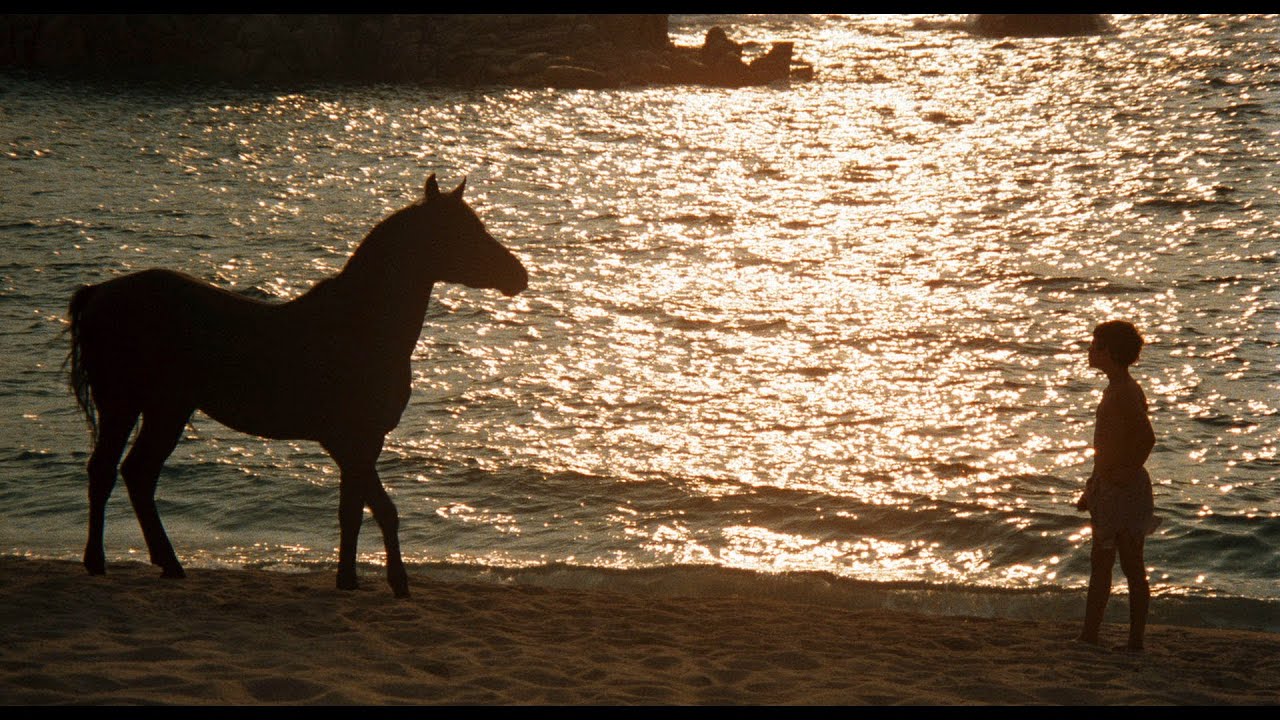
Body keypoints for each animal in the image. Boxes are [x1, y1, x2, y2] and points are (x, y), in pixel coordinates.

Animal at [66, 174, 528, 598]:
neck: (360, 325)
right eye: (462, 231)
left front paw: (365, 580)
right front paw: (378, 582)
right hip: (129, 405)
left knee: (136, 473)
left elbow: (363, 510)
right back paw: (103, 562)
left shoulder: (360, 443)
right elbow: (371, 510)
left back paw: (166, 564)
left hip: (164, 409)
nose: (519, 276)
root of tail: (98, 293)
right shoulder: (352, 440)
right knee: (109, 472)